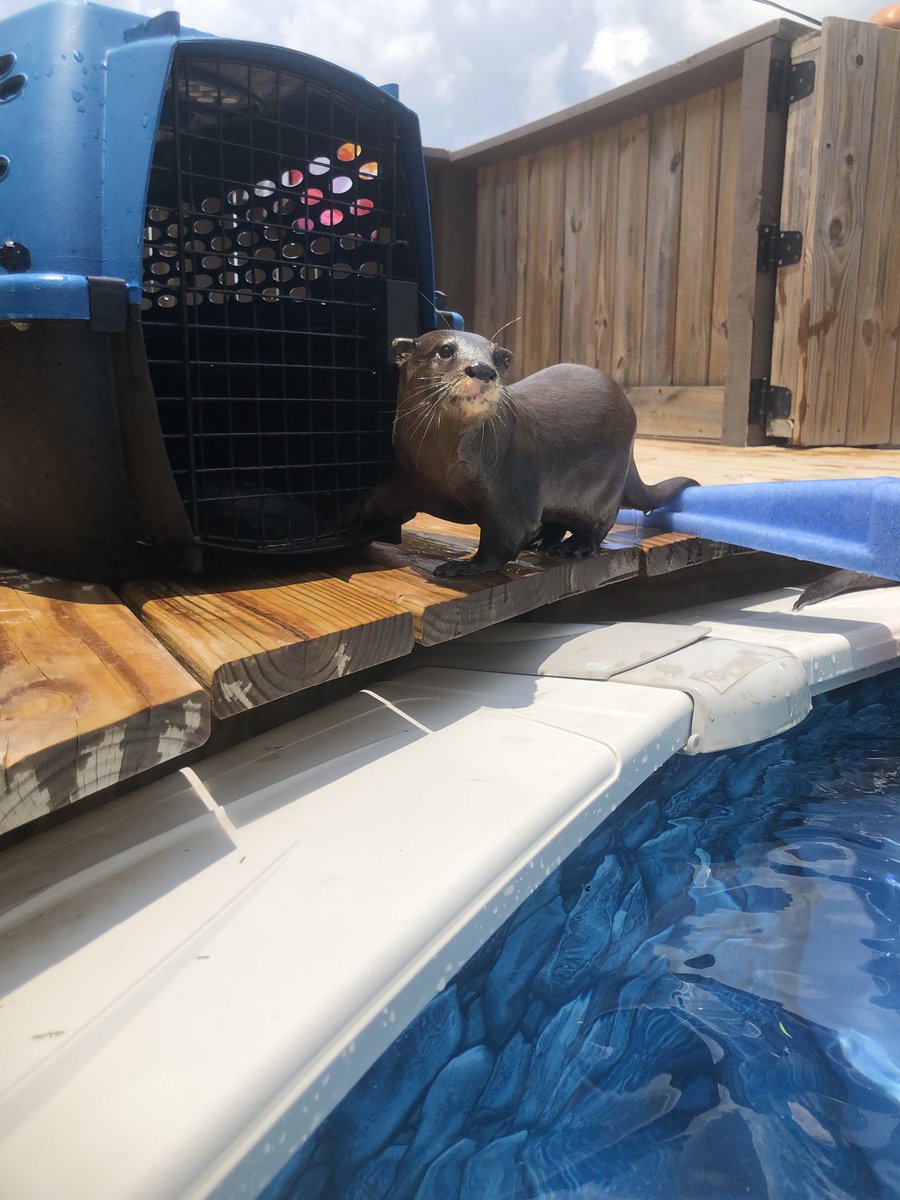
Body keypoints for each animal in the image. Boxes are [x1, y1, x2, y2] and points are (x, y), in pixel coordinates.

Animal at [361, 330, 698, 577]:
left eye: (498, 357)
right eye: (445, 350)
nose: (482, 369)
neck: (444, 469)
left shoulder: (510, 490)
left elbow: (503, 541)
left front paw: (464, 565)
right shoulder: (407, 479)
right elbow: (375, 503)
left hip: (606, 486)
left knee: (598, 525)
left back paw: (574, 546)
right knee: (554, 519)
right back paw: (543, 541)